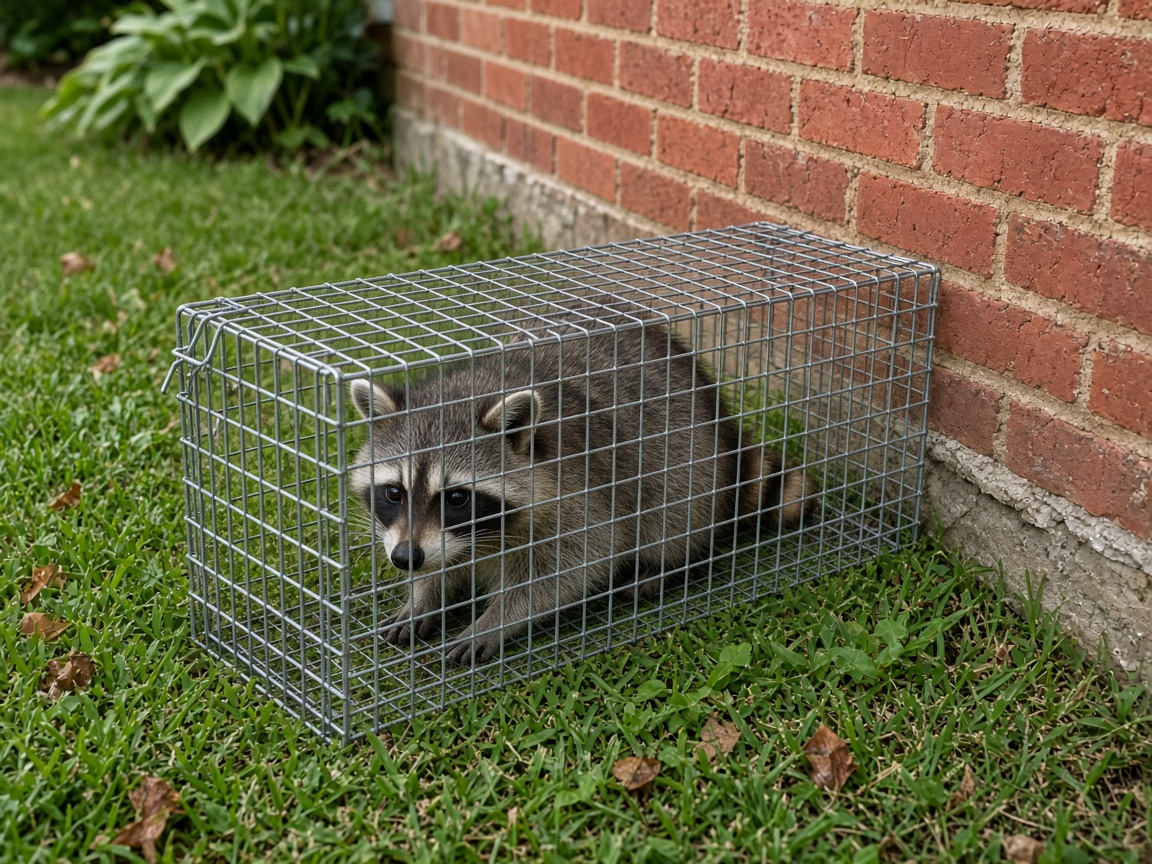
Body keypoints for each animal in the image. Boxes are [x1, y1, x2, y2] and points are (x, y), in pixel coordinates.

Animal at [349, 319, 815, 667]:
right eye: (394, 493)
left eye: (456, 498)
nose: (405, 559)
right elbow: (441, 565)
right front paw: (423, 597)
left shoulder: (578, 494)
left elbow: (572, 564)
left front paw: (496, 620)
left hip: (691, 462)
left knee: (673, 517)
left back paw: (665, 566)